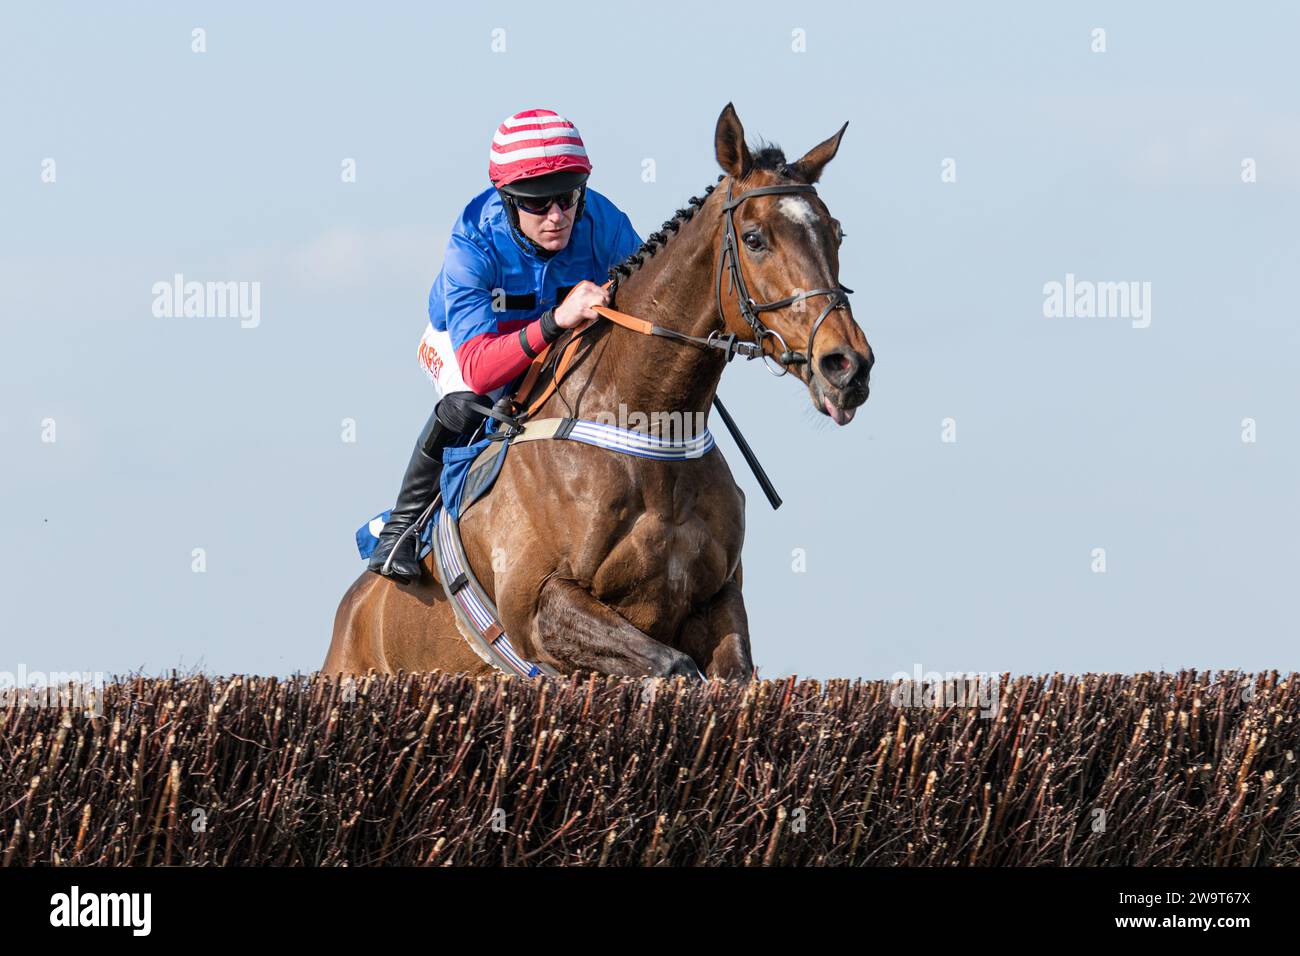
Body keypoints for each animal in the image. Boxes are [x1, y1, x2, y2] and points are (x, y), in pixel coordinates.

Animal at [322, 104, 873, 681]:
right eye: (754, 237)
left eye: (835, 233)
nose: (846, 364)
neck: (647, 424)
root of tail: (354, 608)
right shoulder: (540, 607)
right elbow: (674, 667)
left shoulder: (718, 599)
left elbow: (731, 677)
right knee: (453, 408)